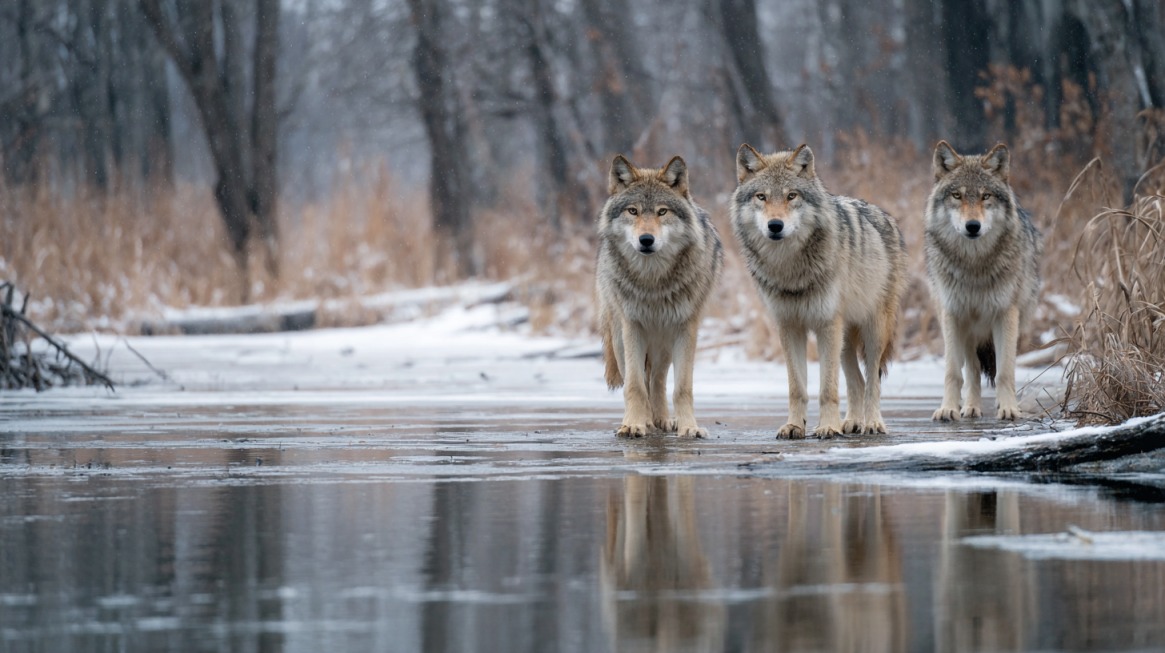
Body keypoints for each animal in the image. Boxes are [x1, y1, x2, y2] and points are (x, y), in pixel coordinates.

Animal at [595, 155, 723, 438]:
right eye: (633, 211)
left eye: (662, 212)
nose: (646, 239)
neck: (653, 281)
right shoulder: (632, 327)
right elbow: (634, 385)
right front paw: (634, 424)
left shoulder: (685, 328)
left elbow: (682, 387)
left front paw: (689, 428)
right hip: (620, 337)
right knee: (640, 380)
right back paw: (642, 421)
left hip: (663, 342)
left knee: (657, 380)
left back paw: (662, 420)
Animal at [731, 144, 906, 438]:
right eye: (761, 197)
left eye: (791, 196)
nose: (775, 225)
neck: (790, 268)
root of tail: (886, 216)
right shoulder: (789, 326)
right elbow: (797, 388)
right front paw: (794, 425)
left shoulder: (826, 325)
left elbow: (827, 389)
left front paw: (827, 427)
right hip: (845, 338)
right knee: (857, 381)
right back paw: (852, 422)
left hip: (872, 330)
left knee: (872, 381)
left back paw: (872, 423)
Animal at [925, 141, 1042, 421]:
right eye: (957, 196)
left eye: (985, 196)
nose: (972, 226)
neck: (974, 265)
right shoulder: (953, 314)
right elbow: (953, 372)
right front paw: (948, 408)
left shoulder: (1006, 314)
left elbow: (1005, 372)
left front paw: (1009, 408)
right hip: (967, 330)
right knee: (972, 370)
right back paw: (970, 407)